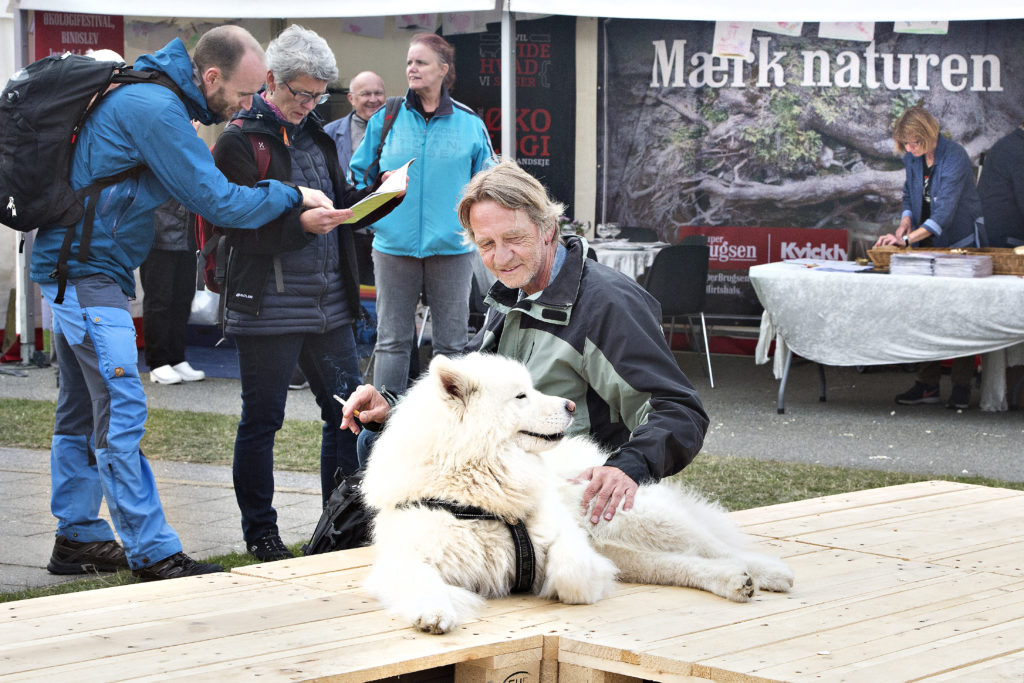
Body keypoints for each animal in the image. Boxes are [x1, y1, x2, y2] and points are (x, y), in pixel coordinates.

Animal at [360, 352, 790, 634]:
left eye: (532, 389)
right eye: (521, 396)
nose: (569, 405)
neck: (481, 491)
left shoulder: (563, 536)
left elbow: (573, 571)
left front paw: (570, 586)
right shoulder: (408, 555)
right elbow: (420, 581)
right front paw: (433, 612)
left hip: (634, 518)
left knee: (714, 546)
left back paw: (769, 572)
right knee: (675, 564)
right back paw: (733, 581)